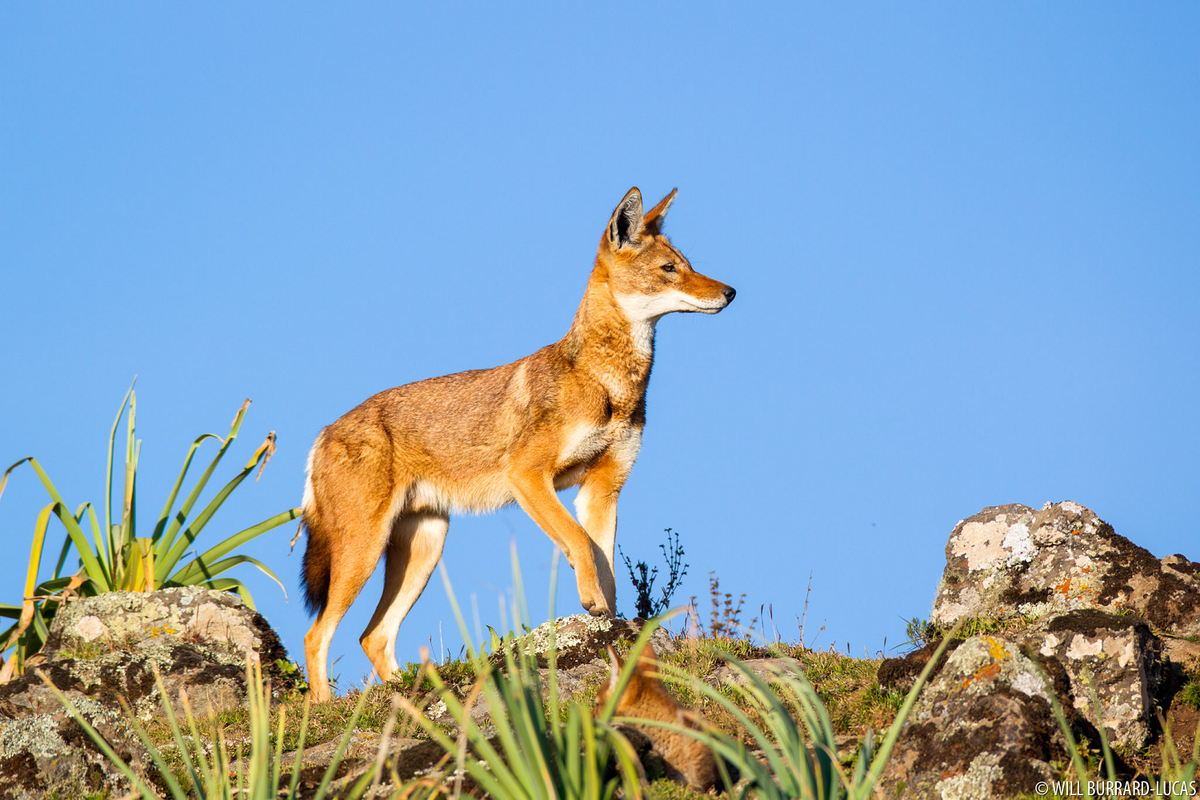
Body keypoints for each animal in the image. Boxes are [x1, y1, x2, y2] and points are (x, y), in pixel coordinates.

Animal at [297, 188, 729, 700]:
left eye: (689, 264)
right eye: (669, 268)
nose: (730, 292)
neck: (611, 385)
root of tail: (324, 431)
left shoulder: (602, 490)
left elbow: (607, 568)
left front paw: (608, 625)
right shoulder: (527, 477)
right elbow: (580, 543)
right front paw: (591, 603)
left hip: (425, 549)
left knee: (373, 636)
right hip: (364, 552)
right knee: (317, 634)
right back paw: (325, 709)